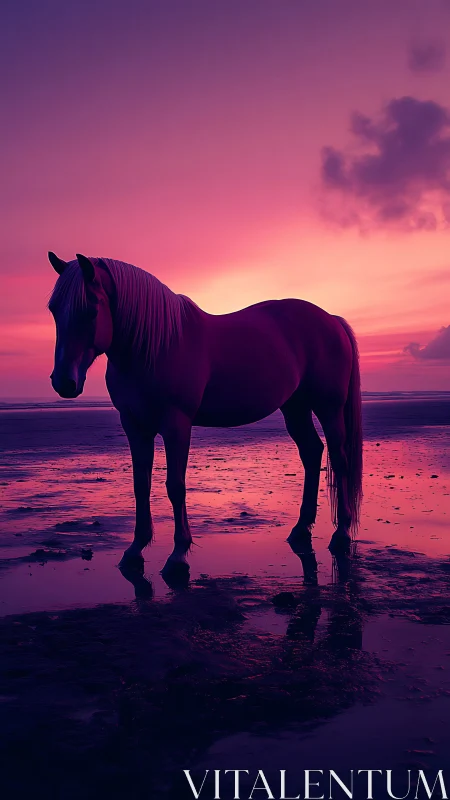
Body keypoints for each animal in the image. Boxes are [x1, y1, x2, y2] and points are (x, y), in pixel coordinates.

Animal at [48, 252, 363, 576]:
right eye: (54, 309)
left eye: (91, 310)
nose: (64, 382)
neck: (154, 345)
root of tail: (331, 320)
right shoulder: (134, 425)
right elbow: (141, 484)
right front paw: (135, 549)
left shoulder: (176, 424)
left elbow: (175, 486)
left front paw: (178, 555)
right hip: (295, 407)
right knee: (312, 453)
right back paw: (301, 529)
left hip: (329, 407)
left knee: (339, 458)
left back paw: (341, 533)